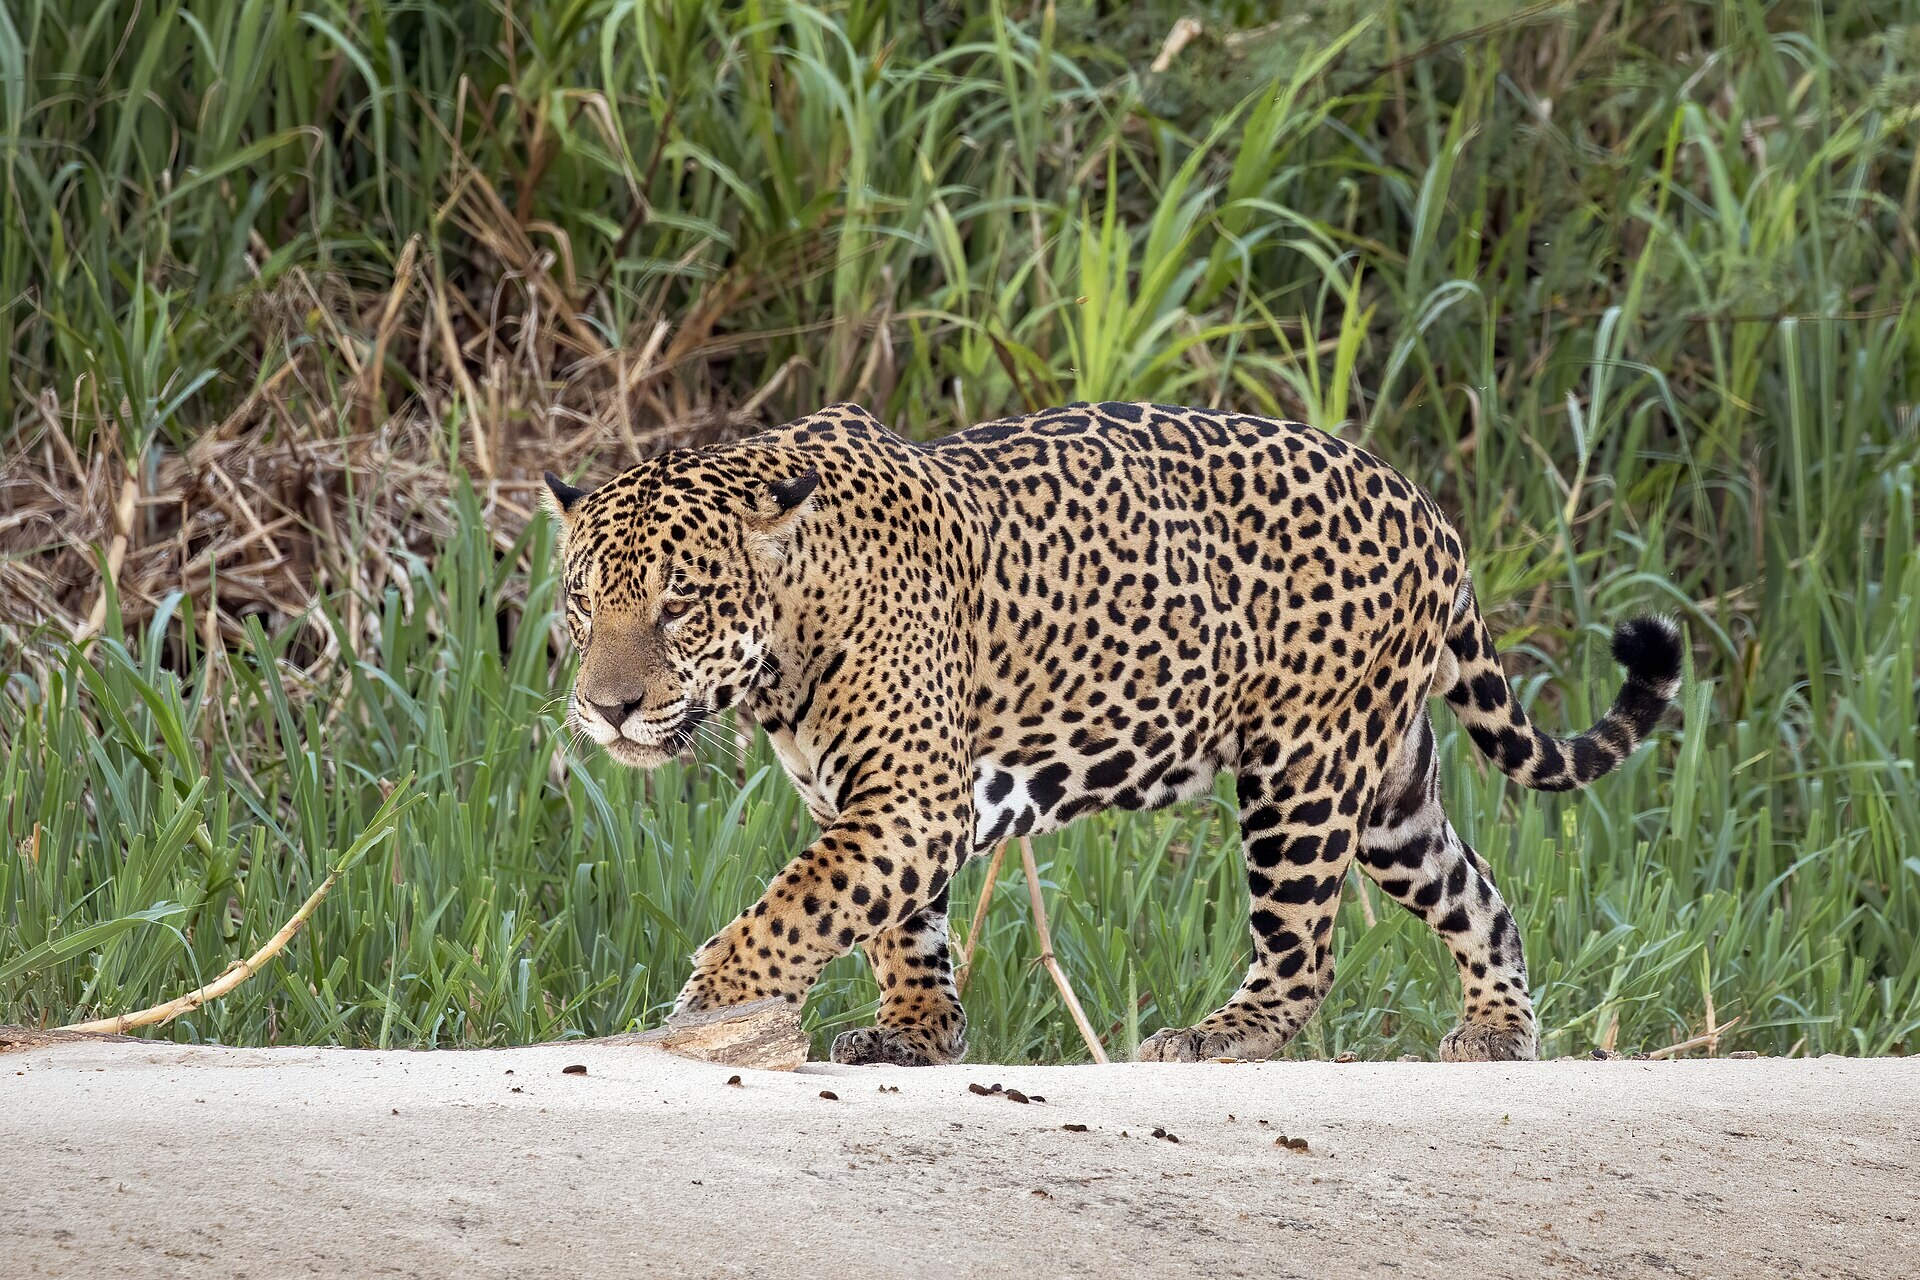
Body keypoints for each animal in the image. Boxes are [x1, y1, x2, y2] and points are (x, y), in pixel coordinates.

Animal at [542, 400, 1682, 1066]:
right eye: (583, 601)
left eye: (679, 606)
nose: (607, 707)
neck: (787, 640)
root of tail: (1430, 511)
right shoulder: (870, 803)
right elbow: (892, 921)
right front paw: (918, 1032)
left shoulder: (912, 801)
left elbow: (797, 905)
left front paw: (710, 1002)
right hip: (1390, 788)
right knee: (1479, 895)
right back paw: (1498, 1031)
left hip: (1302, 771)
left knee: (1303, 950)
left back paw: (1217, 1037)